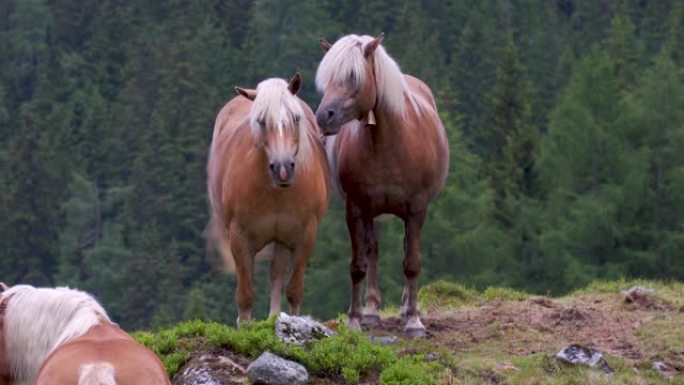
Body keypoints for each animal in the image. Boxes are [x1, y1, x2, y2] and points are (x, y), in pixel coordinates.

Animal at [206, 73, 328, 320]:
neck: (275, 193)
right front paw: (245, 326)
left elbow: (293, 290)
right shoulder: (239, 238)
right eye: (261, 121)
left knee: (276, 274)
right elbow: (245, 294)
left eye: (296, 118)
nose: (283, 169)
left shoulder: (305, 236)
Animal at [316, 33, 448, 336]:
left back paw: (405, 309)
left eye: (353, 77)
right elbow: (358, 264)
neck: (389, 145)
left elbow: (411, 263)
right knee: (372, 249)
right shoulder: (355, 208)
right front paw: (355, 319)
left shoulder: (416, 209)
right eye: (327, 80)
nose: (324, 116)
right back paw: (372, 310)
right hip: (369, 213)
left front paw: (414, 322)